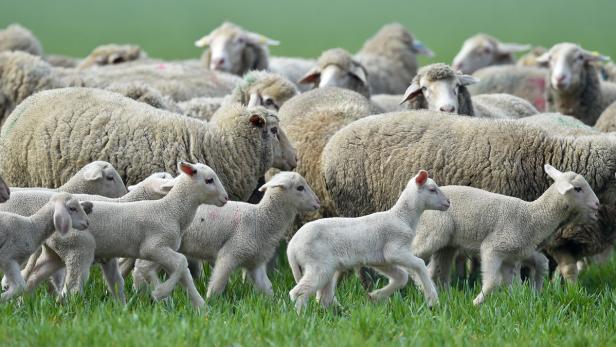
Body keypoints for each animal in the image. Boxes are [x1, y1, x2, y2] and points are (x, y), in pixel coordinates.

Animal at [133, 173, 320, 298]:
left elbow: (266, 287)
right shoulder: (231, 253)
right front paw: (211, 303)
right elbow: (218, 283)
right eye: (300, 187)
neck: (261, 218)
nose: (317, 203)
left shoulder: (255, 263)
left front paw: (274, 305)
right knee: (140, 268)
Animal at [286, 171, 450, 312]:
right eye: (432, 189)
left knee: (323, 297)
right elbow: (420, 264)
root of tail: (291, 247)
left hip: (326, 267)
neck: (402, 217)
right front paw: (433, 300)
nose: (448, 202)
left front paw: (375, 296)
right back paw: (301, 316)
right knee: (298, 292)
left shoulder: (381, 260)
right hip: (318, 264)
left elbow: (402, 277)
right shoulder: (395, 250)